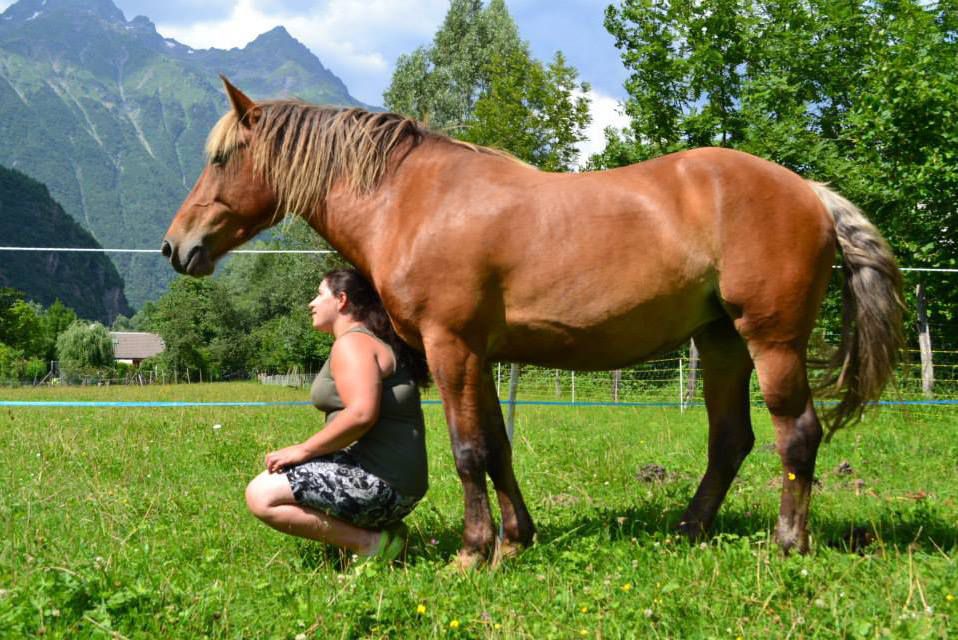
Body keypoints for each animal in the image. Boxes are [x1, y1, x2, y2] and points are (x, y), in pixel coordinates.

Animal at [162, 77, 903, 567]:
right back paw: (688, 531)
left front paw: (473, 553)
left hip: (771, 341)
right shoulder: (480, 356)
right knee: (731, 441)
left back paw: (787, 544)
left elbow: (468, 452)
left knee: (796, 436)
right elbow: (498, 447)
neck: (412, 200)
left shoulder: (451, 347)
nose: (177, 246)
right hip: (720, 343)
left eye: (221, 158)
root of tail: (811, 192)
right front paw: (516, 541)